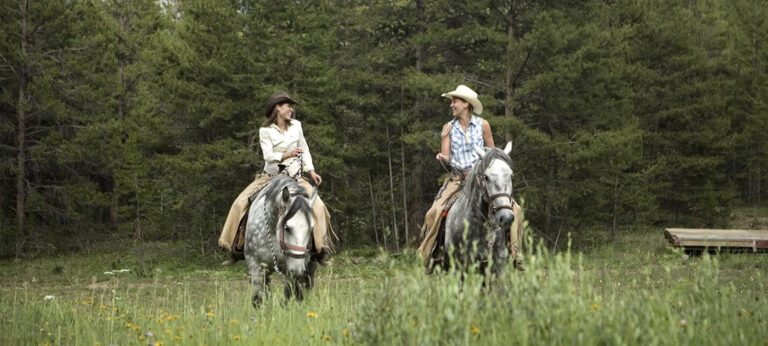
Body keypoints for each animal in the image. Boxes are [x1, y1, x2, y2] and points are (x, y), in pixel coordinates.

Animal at [246, 174, 318, 306]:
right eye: (287, 228)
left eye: (312, 228)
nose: (297, 269)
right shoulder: (255, 267)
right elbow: (258, 299)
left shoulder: (291, 271)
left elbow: (289, 296)